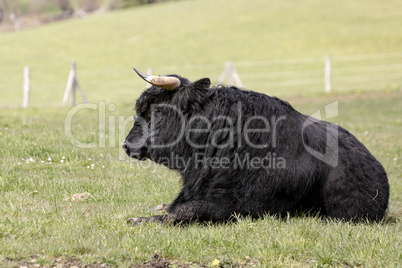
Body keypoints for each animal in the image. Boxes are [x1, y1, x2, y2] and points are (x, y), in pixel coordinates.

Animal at [123, 69, 390, 224]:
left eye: (156, 111)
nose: (126, 145)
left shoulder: (234, 206)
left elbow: (183, 212)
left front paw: (139, 219)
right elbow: (174, 206)